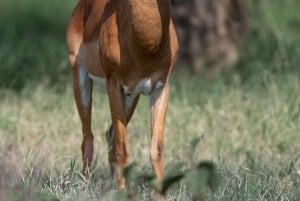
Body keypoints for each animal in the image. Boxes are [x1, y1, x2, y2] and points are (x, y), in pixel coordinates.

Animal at [65, 0, 178, 193]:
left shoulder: (161, 88)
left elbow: (156, 152)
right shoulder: (114, 86)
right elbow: (123, 149)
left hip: (131, 97)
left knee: (109, 134)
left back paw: (111, 185)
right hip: (80, 77)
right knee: (88, 138)